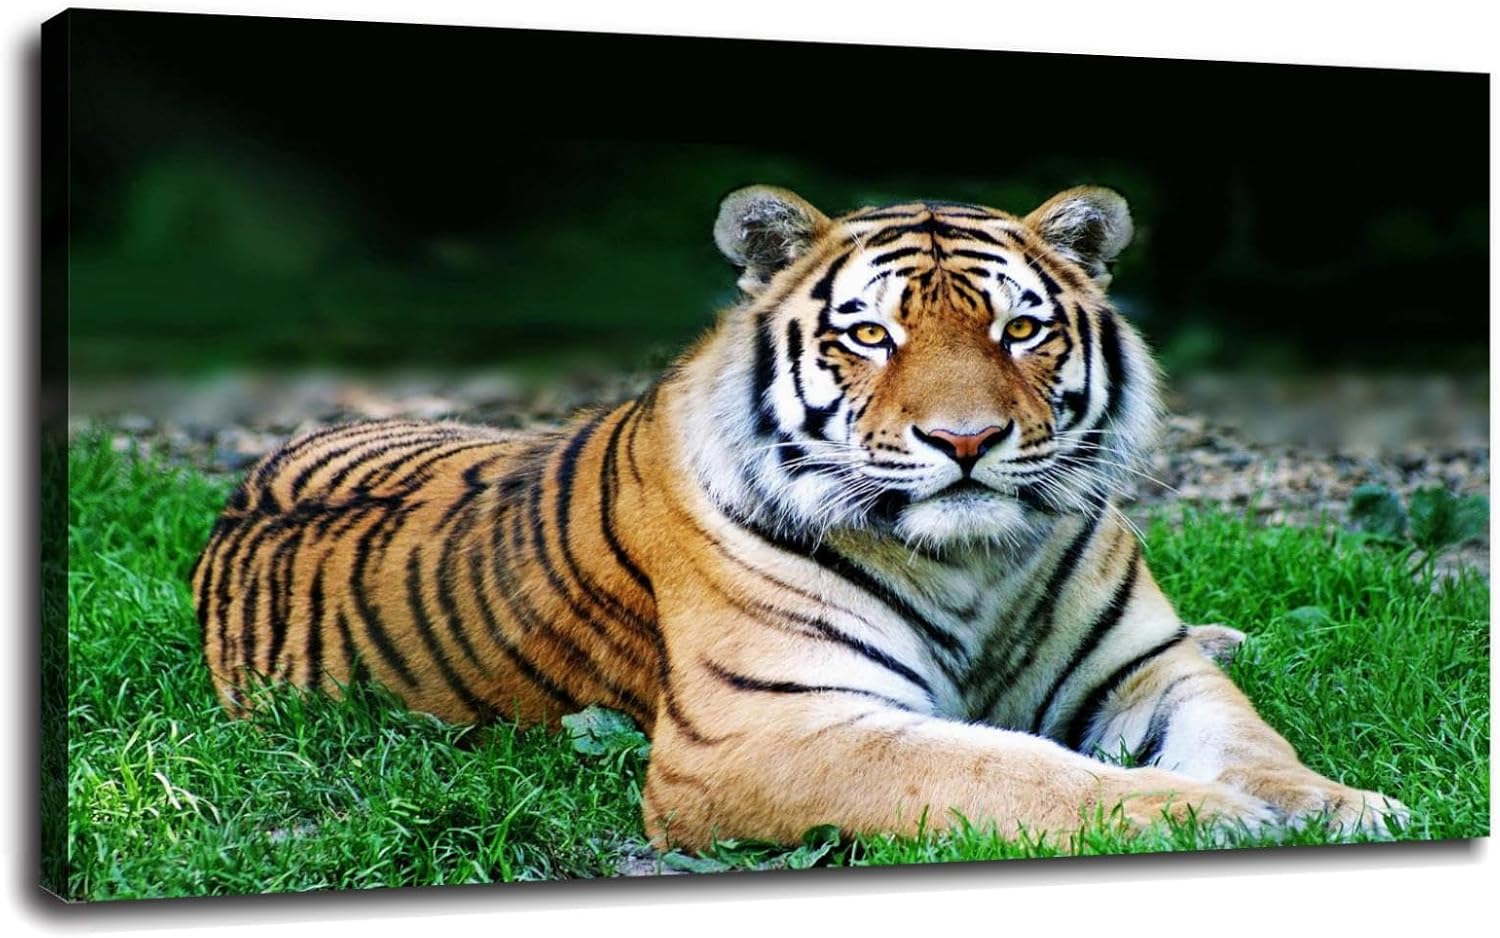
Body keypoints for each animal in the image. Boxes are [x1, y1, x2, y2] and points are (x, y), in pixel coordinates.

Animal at [192, 184, 1408, 851]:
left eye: (1020, 330)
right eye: (870, 335)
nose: (966, 440)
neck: (972, 562)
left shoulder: (1147, 671)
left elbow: (1257, 746)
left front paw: (1344, 807)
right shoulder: (764, 733)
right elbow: (998, 769)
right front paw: (1197, 816)